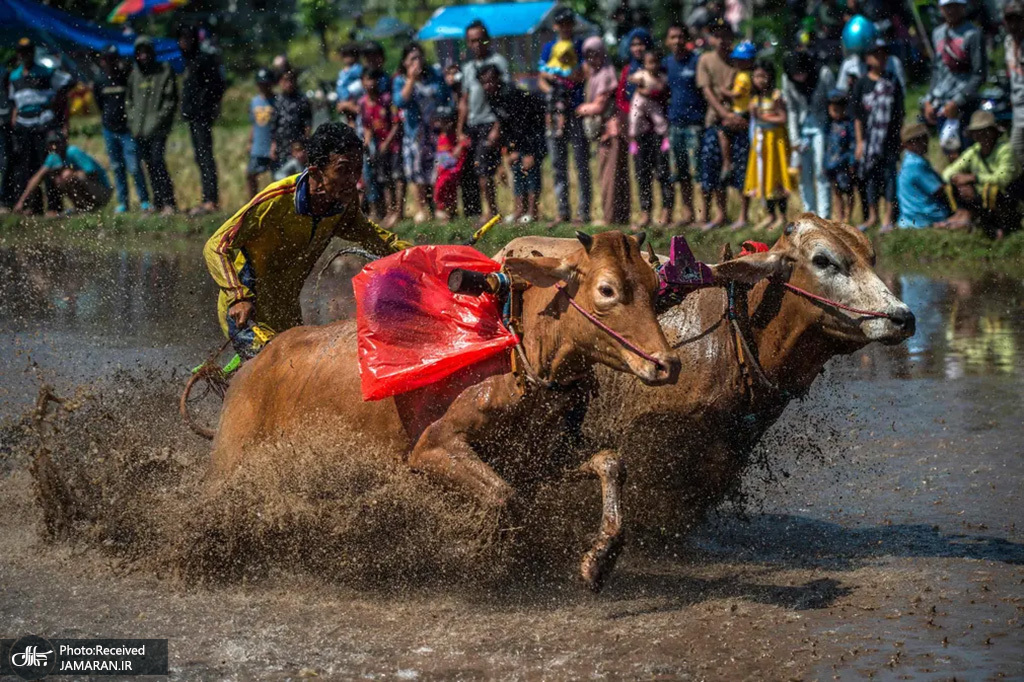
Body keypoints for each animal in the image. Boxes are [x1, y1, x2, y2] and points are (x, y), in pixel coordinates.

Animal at [206, 229, 679, 585]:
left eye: (654, 287)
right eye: (607, 290)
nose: (666, 364)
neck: (517, 353)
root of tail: (248, 372)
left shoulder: (539, 454)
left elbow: (610, 463)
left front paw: (599, 558)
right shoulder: (433, 448)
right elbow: (504, 496)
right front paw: (496, 556)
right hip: (232, 465)